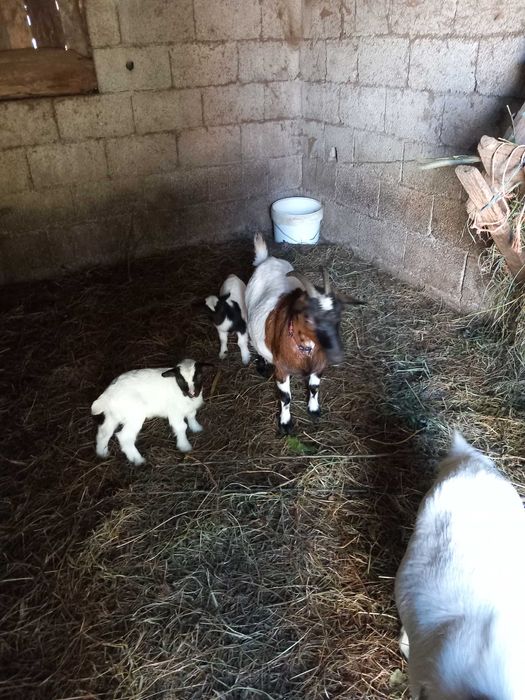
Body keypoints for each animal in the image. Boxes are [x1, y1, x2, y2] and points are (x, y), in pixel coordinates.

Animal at [245, 233, 364, 433]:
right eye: (307, 317)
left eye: (340, 312)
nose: (337, 355)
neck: (305, 351)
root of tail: (266, 259)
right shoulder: (282, 370)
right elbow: (285, 397)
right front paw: (285, 423)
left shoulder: (319, 365)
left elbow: (314, 387)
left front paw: (314, 410)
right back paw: (262, 364)